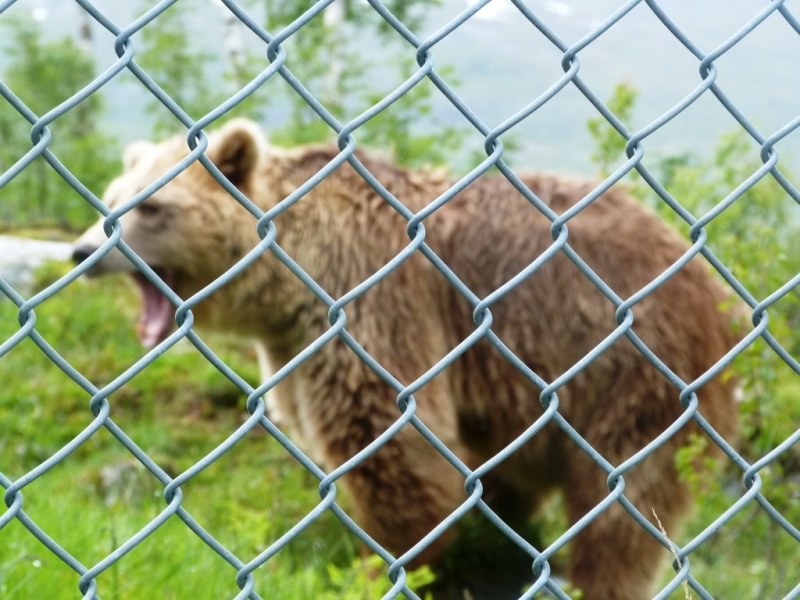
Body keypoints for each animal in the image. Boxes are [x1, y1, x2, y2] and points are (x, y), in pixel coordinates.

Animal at [72, 119, 740, 596]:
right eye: (111, 198)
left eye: (151, 207)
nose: (81, 250)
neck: (289, 280)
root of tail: (712, 288)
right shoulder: (293, 343)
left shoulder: (371, 297)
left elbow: (395, 446)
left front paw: (377, 568)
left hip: (634, 368)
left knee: (620, 503)